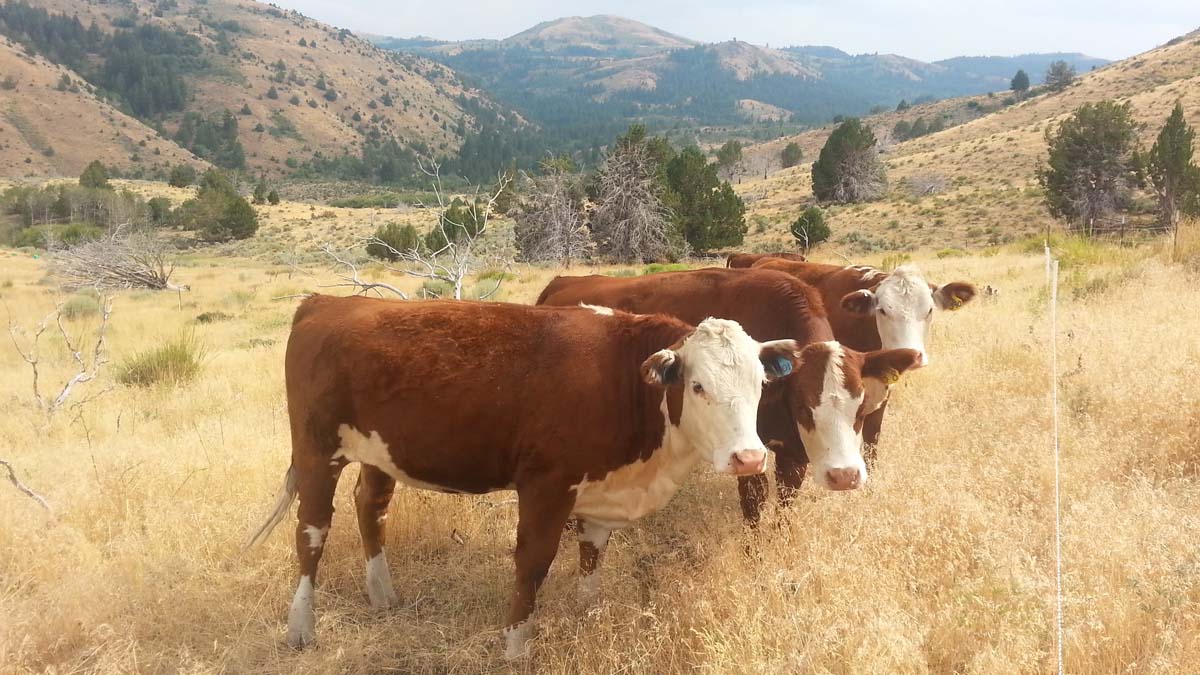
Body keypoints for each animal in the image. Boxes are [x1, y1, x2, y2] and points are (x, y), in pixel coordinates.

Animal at [246, 294, 796, 658]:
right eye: (698, 386)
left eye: (760, 383)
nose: (749, 458)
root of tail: (326, 301)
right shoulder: (546, 485)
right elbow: (533, 563)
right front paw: (515, 645)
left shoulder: (600, 489)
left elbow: (592, 554)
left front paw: (588, 615)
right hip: (317, 452)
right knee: (312, 532)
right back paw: (301, 627)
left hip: (379, 454)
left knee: (370, 507)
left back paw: (383, 595)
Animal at [540, 266, 921, 521]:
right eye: (803, 407)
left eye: (861, 409)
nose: (844, 476)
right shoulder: (747, 449)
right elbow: (754, 501)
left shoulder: (791, 451)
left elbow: (786, 499)